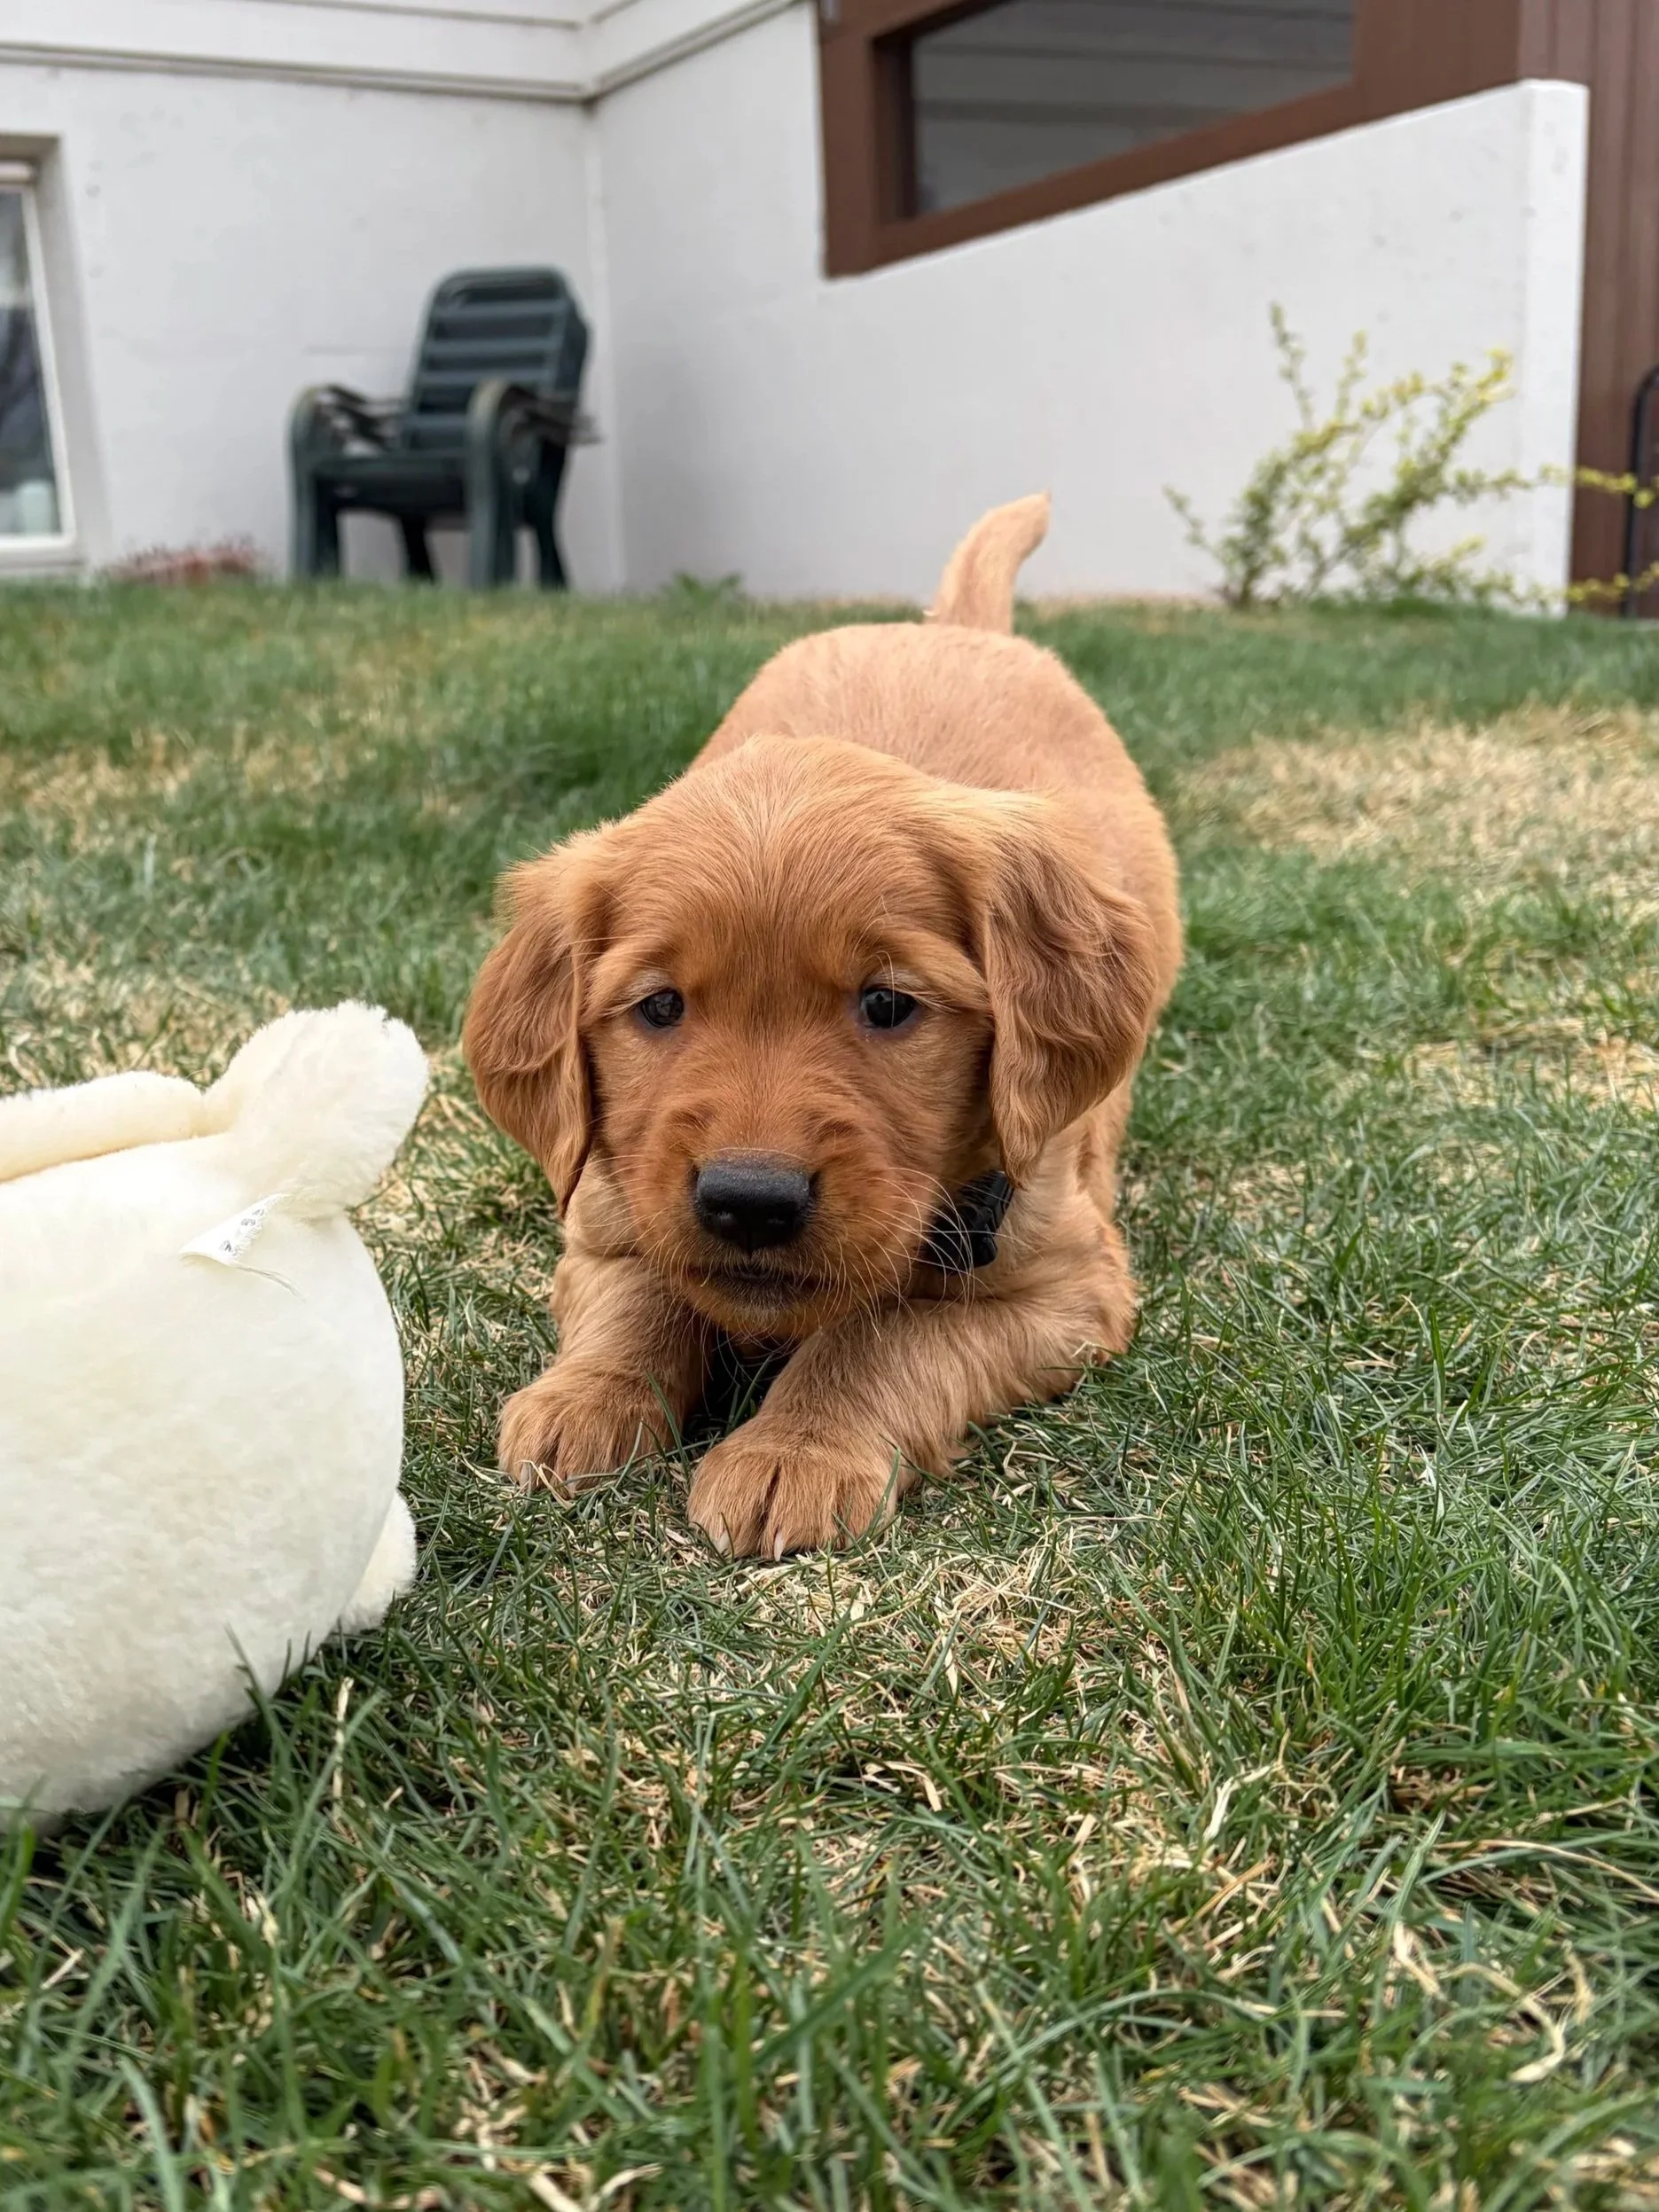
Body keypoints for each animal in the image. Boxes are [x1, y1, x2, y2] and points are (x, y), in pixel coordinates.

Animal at [464, 496, 1182, 1556]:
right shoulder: (602, 1208)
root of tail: (948, 628)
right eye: (659, 1006)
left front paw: (793, 1449)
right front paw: (582, 1399)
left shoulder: (1068, 1280)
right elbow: (642, 1289)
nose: (749, 1202)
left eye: (886, 1005)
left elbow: (886, 1331)